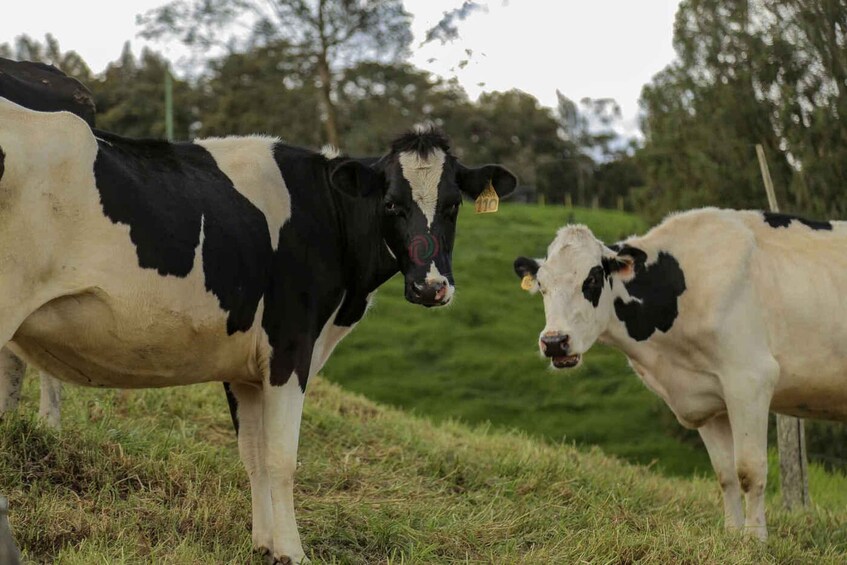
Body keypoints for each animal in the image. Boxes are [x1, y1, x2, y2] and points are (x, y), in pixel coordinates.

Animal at [0, 99, 517, 563]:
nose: (431, 287)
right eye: (390, 204)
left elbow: (253, 454)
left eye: (453, 205)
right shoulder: (290, 347)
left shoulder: (244, 367)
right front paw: (293, 553)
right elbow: (281, 458)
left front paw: (264, 545)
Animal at [514, 207, 847, 541]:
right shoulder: (707, 399)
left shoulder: (750, 379)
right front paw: (732, 537)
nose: (554, 342)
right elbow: (726, 474)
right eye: (541, 285)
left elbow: (749, 472)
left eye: (592, 278)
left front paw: (755, 540)